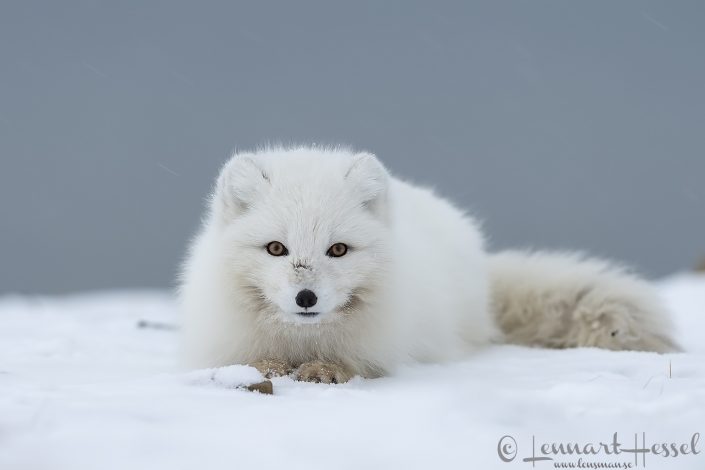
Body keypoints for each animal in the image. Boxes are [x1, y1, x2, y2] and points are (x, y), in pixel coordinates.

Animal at [179, 146, 678, 383]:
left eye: (337, 250)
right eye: (276, 249)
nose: (306, 298)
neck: (301, 341)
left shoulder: (385, 346)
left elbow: (357, 362)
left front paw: (325, 369)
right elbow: (250, 360)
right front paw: (267, 366)